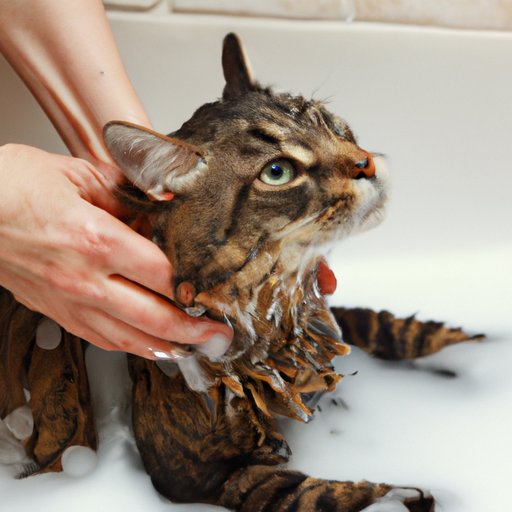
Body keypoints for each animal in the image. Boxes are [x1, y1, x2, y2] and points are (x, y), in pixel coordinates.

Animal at [0, 33, 476, 511]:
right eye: (278, 172)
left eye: (330, 124)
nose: (366, 164)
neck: (277, 312)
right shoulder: (205, 477)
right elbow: (324, 495)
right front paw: (411, 495)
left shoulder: (332, 322)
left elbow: (401, 331)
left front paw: (473, 351)